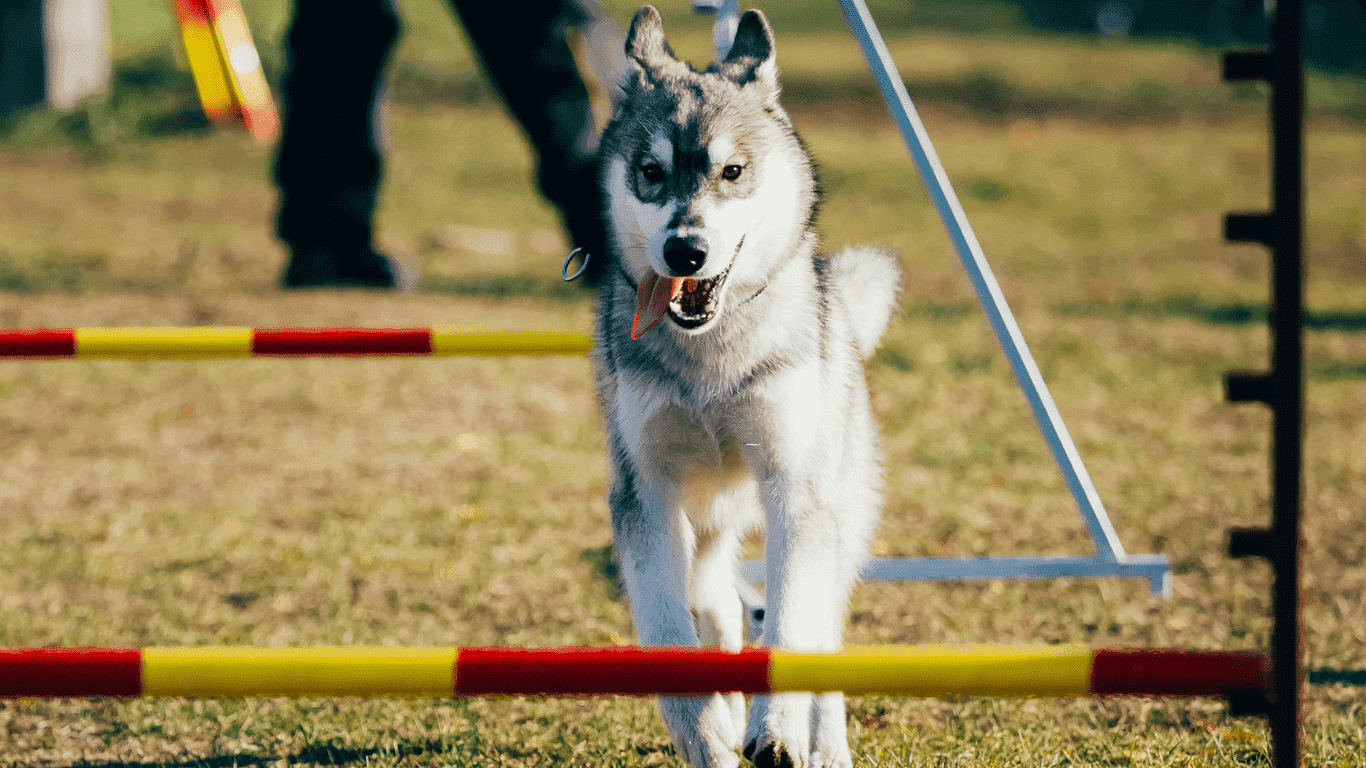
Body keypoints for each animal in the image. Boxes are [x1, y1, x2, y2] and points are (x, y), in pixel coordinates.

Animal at [592, 7, 901, 765]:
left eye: (732, 171)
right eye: (651, 173)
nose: (685, 250)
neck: (711, 360)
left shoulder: (796, 491)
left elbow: (788, 629)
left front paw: (779, 732)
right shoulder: (645, 496)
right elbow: (670, 632)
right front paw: (709, 734)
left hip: (837, 512)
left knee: (820, 632)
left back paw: (827, 746)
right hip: (702, 524)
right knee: (717, 605)